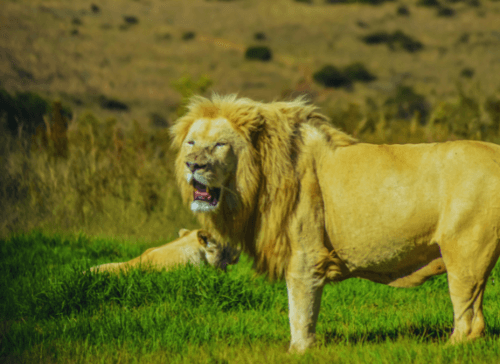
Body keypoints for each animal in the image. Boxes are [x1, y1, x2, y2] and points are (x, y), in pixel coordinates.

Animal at [171, 94, 500, 352]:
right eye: (191, 142)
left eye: (220, 145)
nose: (193, 164)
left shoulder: (305, 255)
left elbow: (300, 308)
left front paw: (299, 350)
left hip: (464, 253)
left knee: (468, 315)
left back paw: (450, 346)